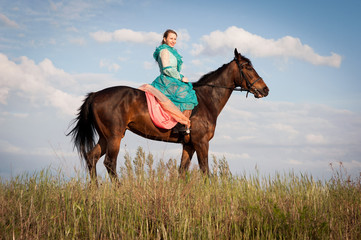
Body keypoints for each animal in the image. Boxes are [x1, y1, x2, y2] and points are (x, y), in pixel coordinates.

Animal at [67, 49, 268, 182]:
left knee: (91, 158)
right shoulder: (201, 142)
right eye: (247, 67)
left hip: (105, 137)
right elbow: (205, 171)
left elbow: (182, 171)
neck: (206, 99)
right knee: (109, 163)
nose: (265, 89)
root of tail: (95, 95)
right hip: (114, 136)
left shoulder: (189, 145)